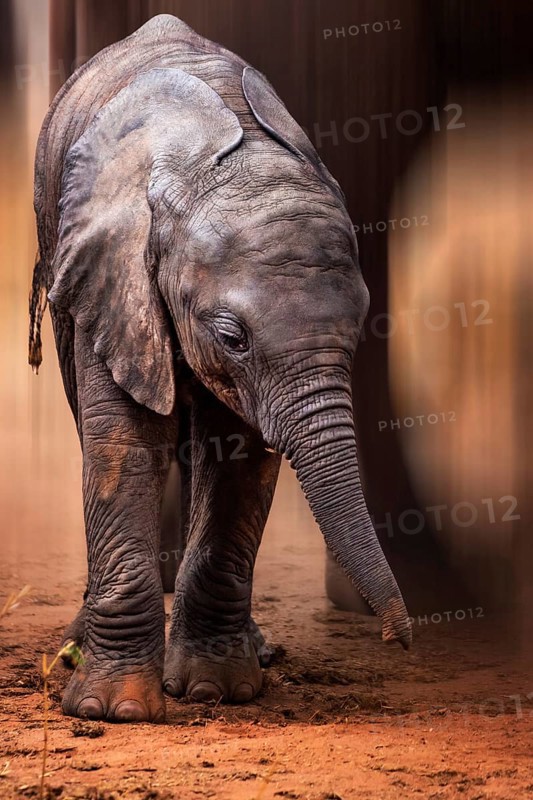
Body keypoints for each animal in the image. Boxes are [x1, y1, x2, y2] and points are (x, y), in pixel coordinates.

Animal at [29, 13, 411, 723]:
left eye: (358, 331)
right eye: (231, 338)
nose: (398, 639)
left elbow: (238, 458)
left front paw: (216, 691)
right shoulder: (113, 273)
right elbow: (123, 446)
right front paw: (114, 711)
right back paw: (76, 649)